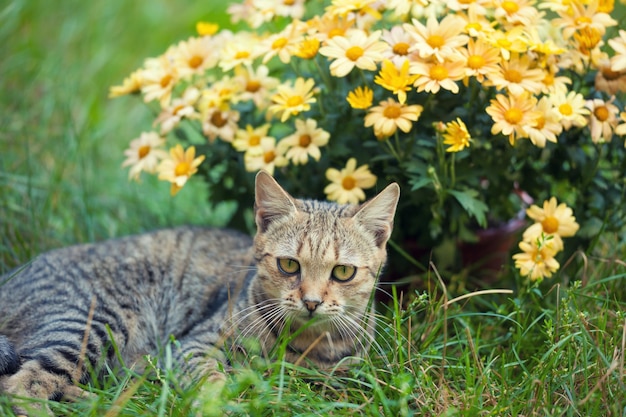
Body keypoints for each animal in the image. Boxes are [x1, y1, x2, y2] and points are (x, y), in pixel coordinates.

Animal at [0, 170, 398, 412]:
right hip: (93, 321)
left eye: (343, 272)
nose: (311, 302)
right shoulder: (193, 346)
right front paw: (224, 403)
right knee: (21, 383)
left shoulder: (343, 374)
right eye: (289, 265)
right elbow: (213, 381)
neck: (301, 343)